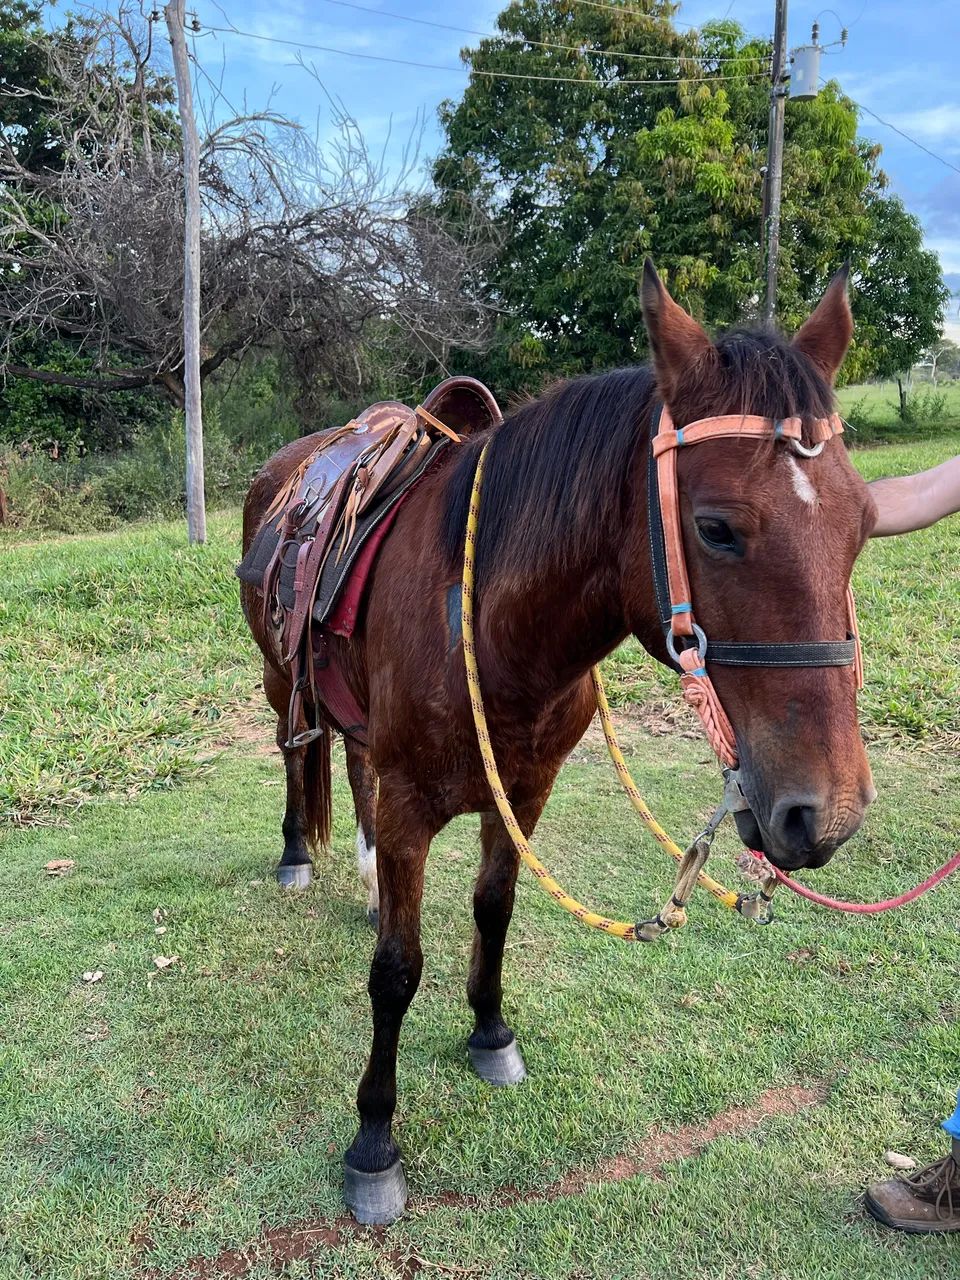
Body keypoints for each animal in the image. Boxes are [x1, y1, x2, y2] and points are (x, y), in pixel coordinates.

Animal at [240, 262, 877, 1223]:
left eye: (863, 521)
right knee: (295, 754)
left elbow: (493, 909)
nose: (826, 812)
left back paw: (364, 879)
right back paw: (296, 857)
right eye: (716, 527)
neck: (485, 618)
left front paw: (489, 1032)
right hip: (283, 682)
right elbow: (397, 971)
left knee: (349, 760)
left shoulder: (526, 789)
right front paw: (374, 1140)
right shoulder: (412, 806)